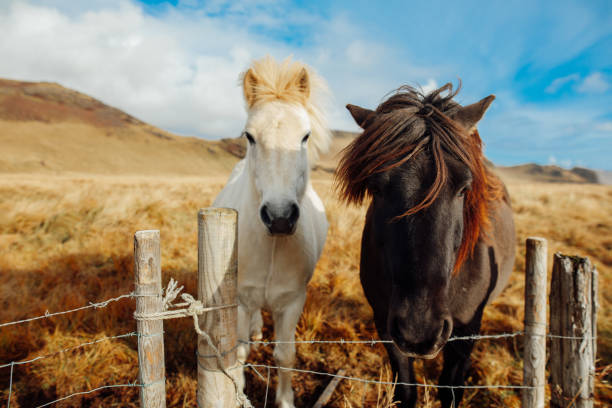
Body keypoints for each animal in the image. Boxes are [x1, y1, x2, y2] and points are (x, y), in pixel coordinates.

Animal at [214, 55, 332, 406]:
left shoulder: (293, 302)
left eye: (305, 136)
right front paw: (239, 394)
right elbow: (238, 354)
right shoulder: (240, 300)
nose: (279, 218)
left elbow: (285, 356)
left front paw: (286, 400)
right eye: (249, 136)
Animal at [338, 83, 512, 408]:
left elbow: (451, 389)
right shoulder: (385, 323)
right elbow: (405, 390)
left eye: (464, 188)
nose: (419, 330)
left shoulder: (467, 332)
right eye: (376, 188)